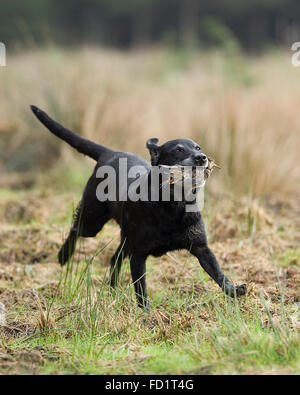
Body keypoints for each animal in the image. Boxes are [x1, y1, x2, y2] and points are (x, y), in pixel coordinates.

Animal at [31, 106, 246, 310]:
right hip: (93, 221)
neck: (173, 206)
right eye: (178, 150)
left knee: (114, 258)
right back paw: (63, 255)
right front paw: (147, 315)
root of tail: (109, 153)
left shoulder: (201, 247)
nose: (202, 157)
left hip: (125, 238)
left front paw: (235, 290)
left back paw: (112, 291)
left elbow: (218, 272)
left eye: (198, 147)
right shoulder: (138, 255)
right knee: (76, 229)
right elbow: (141, 289)